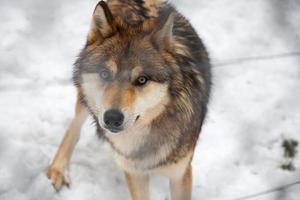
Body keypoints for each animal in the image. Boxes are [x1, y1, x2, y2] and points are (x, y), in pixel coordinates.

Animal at [47, 0, 211, 199]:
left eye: (142, 80)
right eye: (105, 74)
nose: (112, 118)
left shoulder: (180, 174)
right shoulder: (134, 173)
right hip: (84, 100)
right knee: (74, 127)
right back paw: (58, 170)